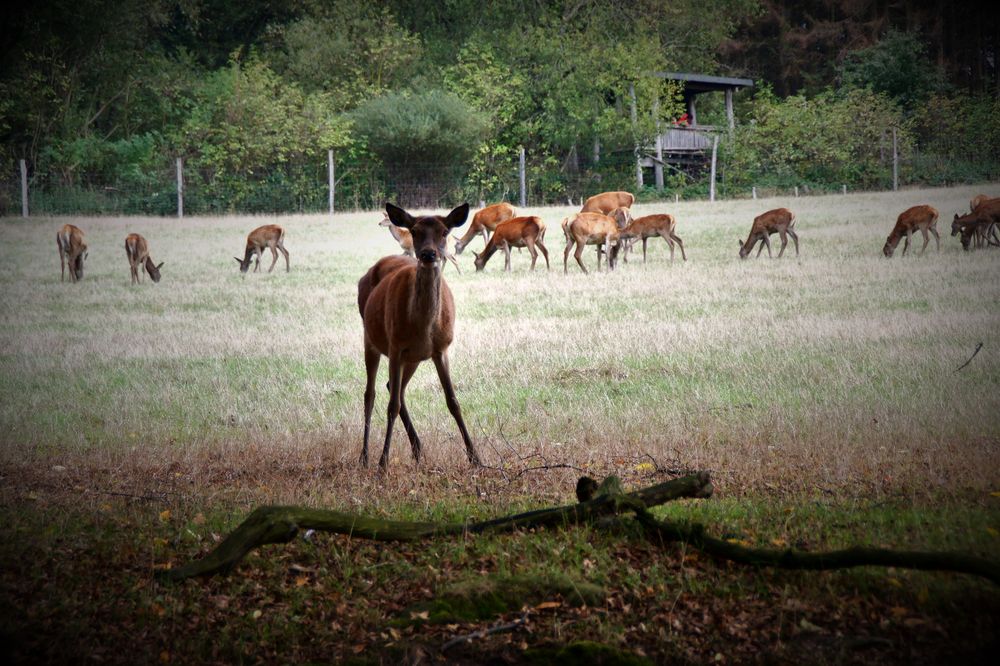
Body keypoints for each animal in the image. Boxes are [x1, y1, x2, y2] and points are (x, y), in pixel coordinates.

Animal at [358, 202, 482, 466]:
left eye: (445, 231)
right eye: (414, 231)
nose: (428, 254)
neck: (423, 326)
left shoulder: (440, 349)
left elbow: (453, 401)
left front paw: (475, 457)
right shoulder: (395, 346)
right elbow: (391, 407)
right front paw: (383, 464)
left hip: (412, 358)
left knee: (392, 387)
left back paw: (417, 447)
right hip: (371, 339)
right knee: (370, 394)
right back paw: (364, 457)